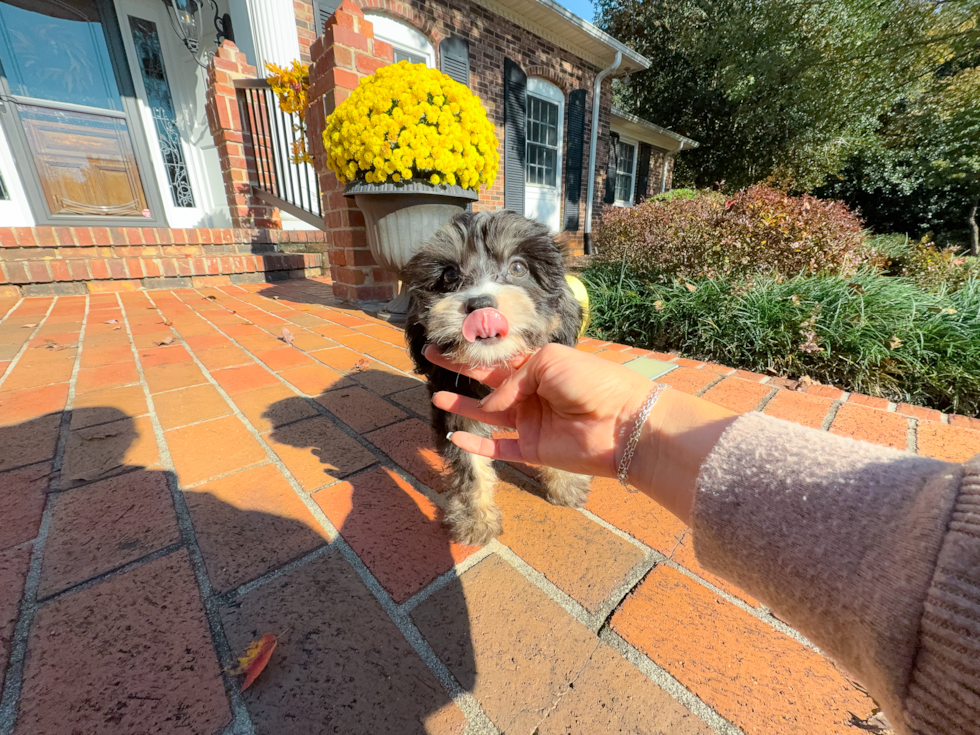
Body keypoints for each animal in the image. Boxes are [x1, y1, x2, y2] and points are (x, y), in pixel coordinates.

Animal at [404, 208, 588, 548]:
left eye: (518, 267)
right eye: (449, 275)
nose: (480, 306)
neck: (495, 365)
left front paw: (567, 483)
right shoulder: (456, 407)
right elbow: (470, 466)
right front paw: (475, 520)